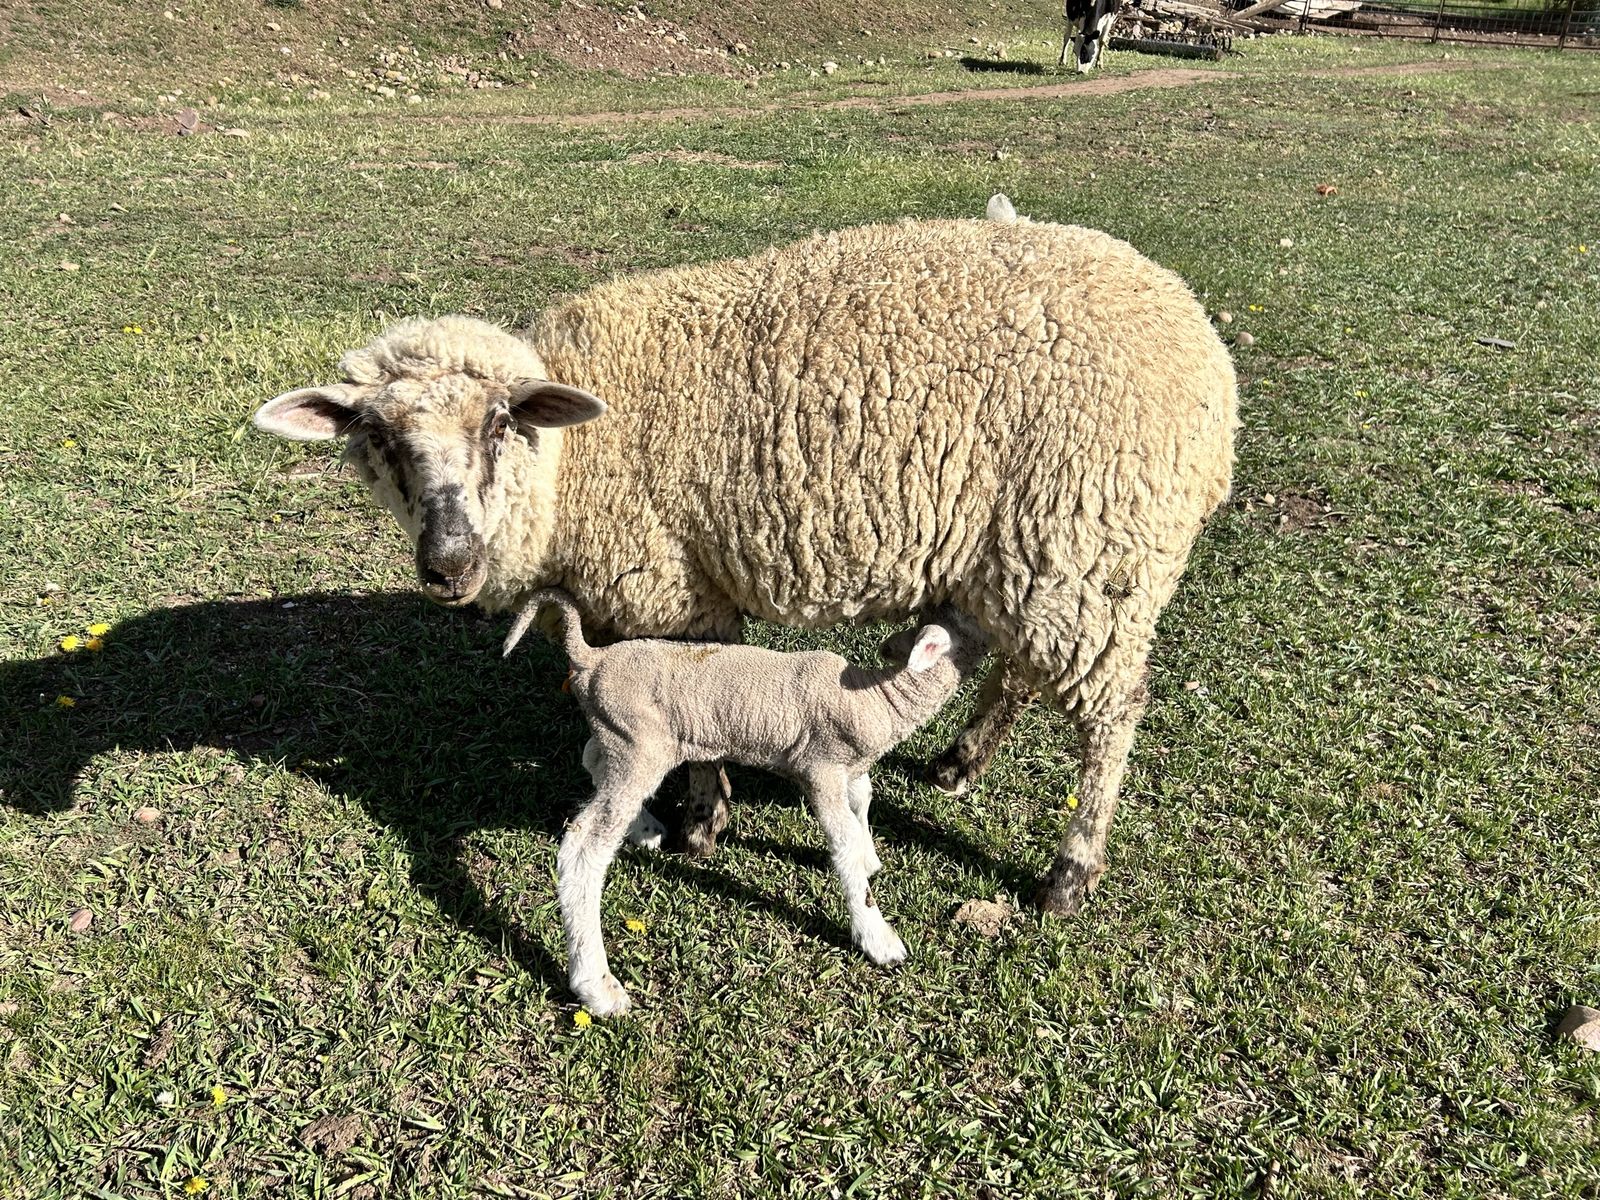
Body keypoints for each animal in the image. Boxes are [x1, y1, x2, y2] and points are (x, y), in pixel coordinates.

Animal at [253, 212, 1238, 916]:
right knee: (1022, 669)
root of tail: (1192, 328)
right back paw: (961, 764)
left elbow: (699, 705)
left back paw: (1069, 873)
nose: (447, 560)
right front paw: (702, 813)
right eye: (376, 438)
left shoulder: (672, 587)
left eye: (500, 423)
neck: (576, 465)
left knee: (1111, 713)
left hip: (1094, 542)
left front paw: (701, 822)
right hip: (1036, 556)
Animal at [507, 589, 988, 1016]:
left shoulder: (849, 767)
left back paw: (644, 828)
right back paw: (597, 986)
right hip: (638, 744)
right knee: (583, 847)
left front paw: (872, 857)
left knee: (592, 758)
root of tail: (590, 659)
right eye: (974, 619)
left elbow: (863, 800)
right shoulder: (820, 768)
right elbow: (844, 845)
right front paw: (878, 937)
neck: (876, 698)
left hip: (623, 742)